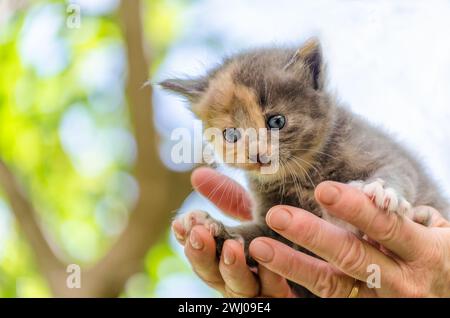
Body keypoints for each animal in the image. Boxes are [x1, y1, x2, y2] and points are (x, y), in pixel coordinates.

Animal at [162, 38, 450, 296]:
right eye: (231, 135)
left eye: (277, 121)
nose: (257, 155)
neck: (303, 173)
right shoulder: (272, 223)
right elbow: (255, 238)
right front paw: (210, 225)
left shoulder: (383, 151)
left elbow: (399, 171)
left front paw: (381, 190)